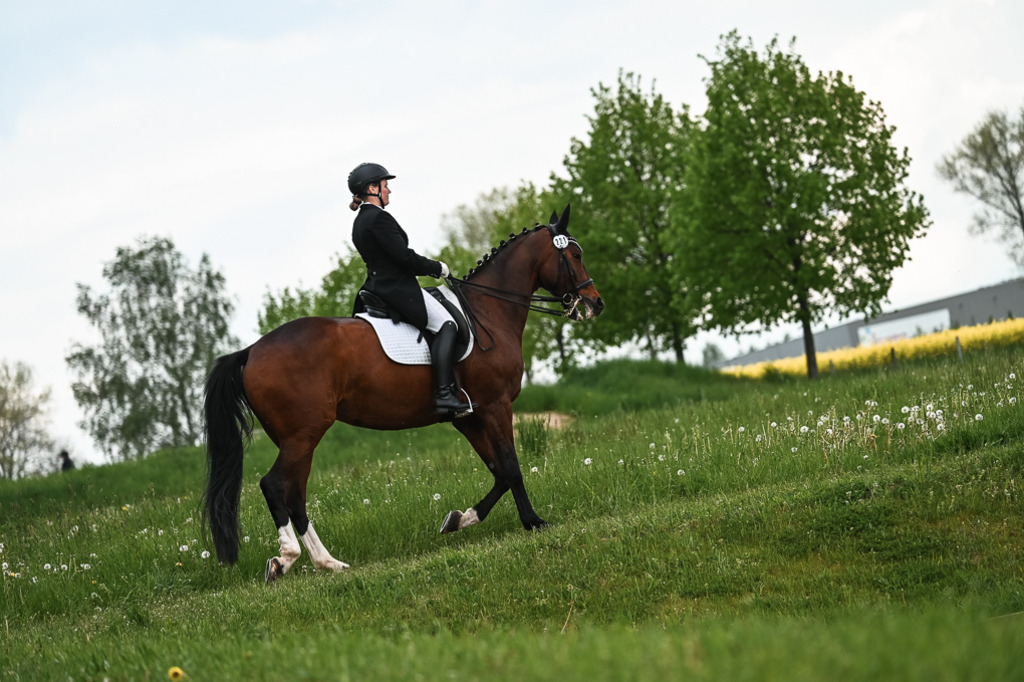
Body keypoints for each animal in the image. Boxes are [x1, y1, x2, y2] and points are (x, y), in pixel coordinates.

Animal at [202, 204, 604, 582]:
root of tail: (251, 351)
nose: (595, 302)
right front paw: (534, 522)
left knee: (295, 494)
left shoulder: (470, 417)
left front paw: (459, 519)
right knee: (274, 486)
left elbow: (499, 471)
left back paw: (327, 562)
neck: (489, 311)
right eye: (576, 254)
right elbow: (512, 467)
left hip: (295, 438)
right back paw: (287, 558)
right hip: (304, 433)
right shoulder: (495, 405)